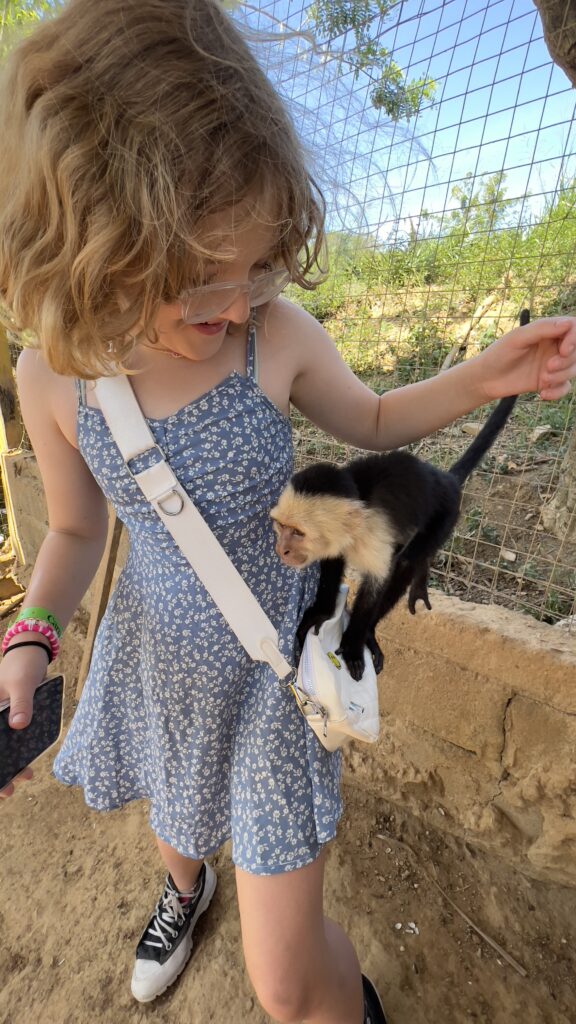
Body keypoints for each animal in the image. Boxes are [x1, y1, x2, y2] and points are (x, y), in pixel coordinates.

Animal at [270, 311, 528, 679]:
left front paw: (353, 642)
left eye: (298, 532)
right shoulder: (336, 542)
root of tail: (444, 479)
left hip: (447, 513)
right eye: (281, 527)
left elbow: (378, 583)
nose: (282, 549)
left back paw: (377, 624)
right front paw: (321, 611)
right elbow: (332, 565)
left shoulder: (375, 532)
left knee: (407, 561)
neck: (359, 504)